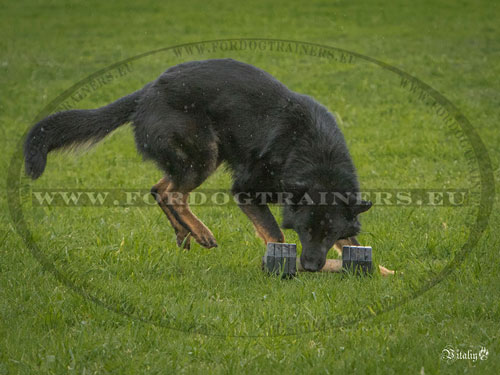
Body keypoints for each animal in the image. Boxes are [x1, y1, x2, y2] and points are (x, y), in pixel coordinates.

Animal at [24, 58, 372, 270]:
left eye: (329, 233)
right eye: (304, 230)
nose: (310, 266)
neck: (315, 158)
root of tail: (147, 91)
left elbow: (353, 241)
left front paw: (378, 270)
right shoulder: (246, 190)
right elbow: (275, 233)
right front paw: (277, 263)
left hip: (196, 158)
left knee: (159, 189)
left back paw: (184, 231)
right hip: (204, 153)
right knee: (172, 193)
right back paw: (201, 232)